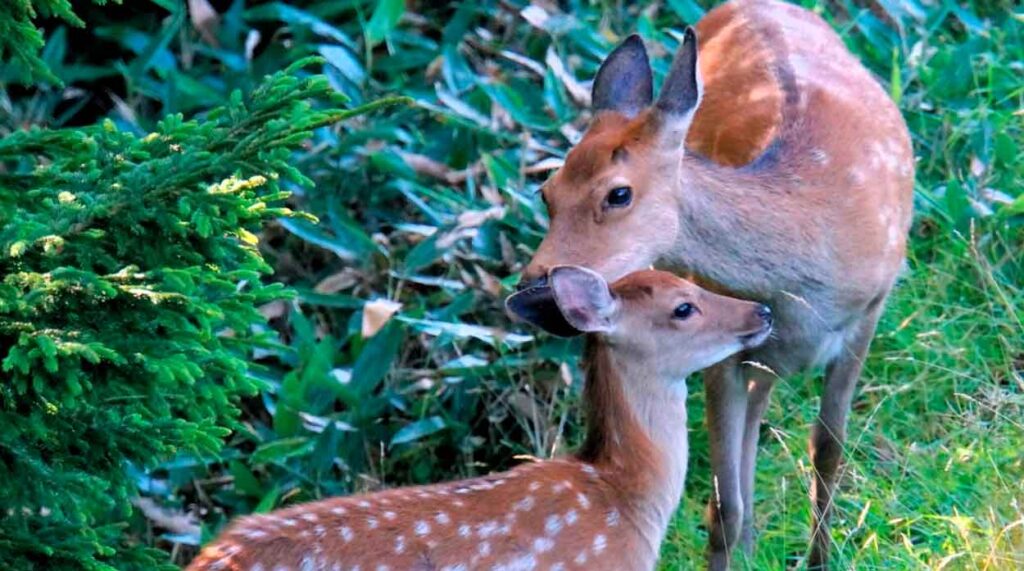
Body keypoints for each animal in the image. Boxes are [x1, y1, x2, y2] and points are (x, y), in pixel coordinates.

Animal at [507, 2, 917, 568]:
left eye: (618, 193)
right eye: (547, 192)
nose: (533, 287)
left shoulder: (868, 311)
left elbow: (829, 448)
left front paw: (820, 558)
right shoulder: (719, 328)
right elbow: (723, 507)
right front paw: (739, 541)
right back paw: (749, 545)